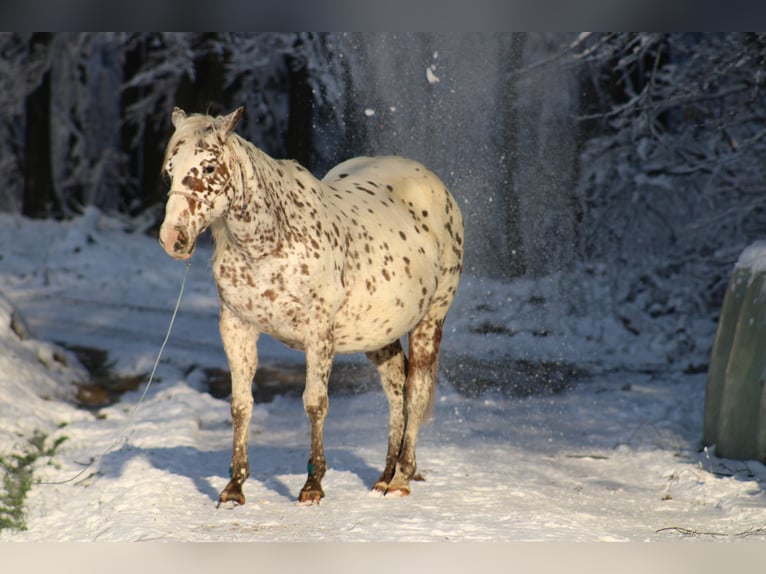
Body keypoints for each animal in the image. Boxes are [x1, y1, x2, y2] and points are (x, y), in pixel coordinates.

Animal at [159, 106, 464, 506]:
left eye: (208, 168)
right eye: (169, 168)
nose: (172, 238)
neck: (271, 243)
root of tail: (434, 185)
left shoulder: (318, 334)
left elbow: (315, 403)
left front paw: (312, 485)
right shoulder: (237, 328)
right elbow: (241, 406)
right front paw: (234, 488)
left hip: (431, 318)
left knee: (415, 392)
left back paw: (401, 478)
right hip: (380, 334)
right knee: (395, 390)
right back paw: (385, 475)